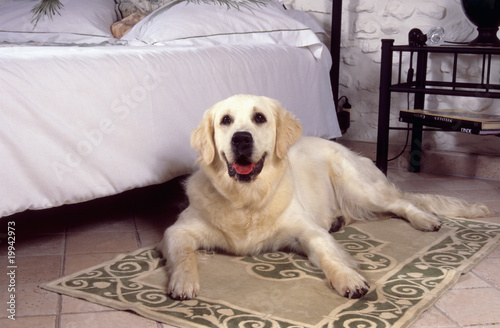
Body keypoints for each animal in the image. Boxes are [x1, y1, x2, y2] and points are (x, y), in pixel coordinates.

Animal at [157, 94, 492, 300]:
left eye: (260, 118)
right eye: (225, 120)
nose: (241, 139)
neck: (246, 198)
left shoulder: (308, 231)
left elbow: (330, 255)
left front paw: (348, 278)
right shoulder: (177, 231)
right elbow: (184, 255)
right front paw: (183, 281)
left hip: (360, 188)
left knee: (403, 202)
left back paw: (425, 220)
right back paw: (338, 221)